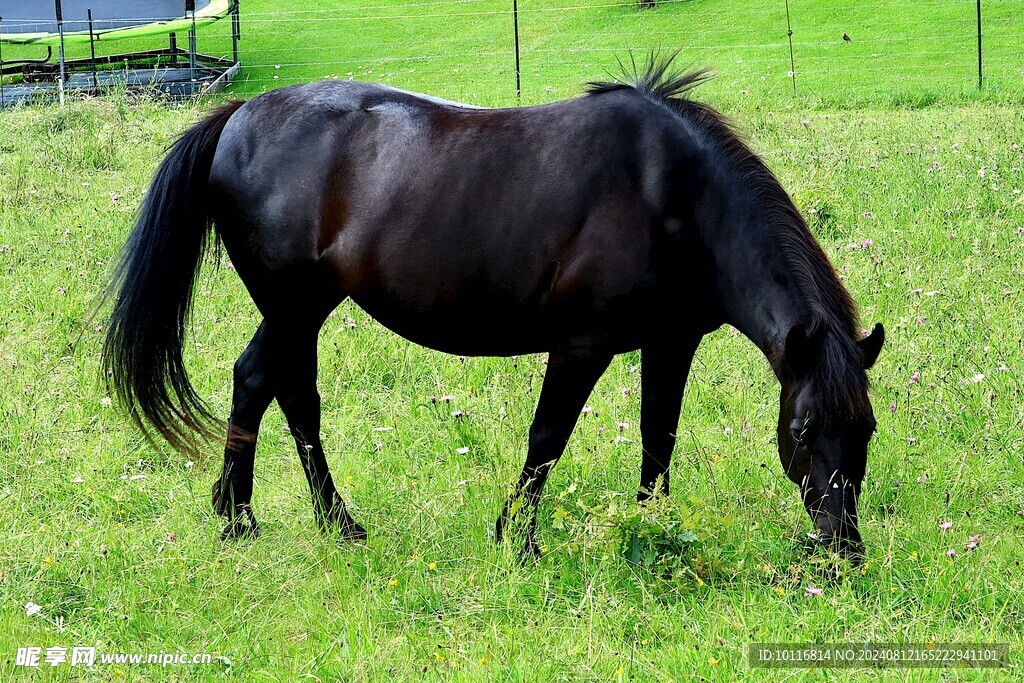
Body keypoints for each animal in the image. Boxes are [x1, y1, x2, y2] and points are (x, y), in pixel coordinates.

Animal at [108, 57, 884, 561]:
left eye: (866, 428)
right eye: (804, 426)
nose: (842, 549)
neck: (674, 196)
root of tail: (238, 115)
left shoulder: (671, 341)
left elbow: (657, 438)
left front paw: (653, 531)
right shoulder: (581, 344)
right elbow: (547, 439)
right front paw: (519, 537)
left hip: (304, 307)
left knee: (271, 388)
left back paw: (281, 518)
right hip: (294, 305)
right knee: (277, 388)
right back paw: (275, 520)